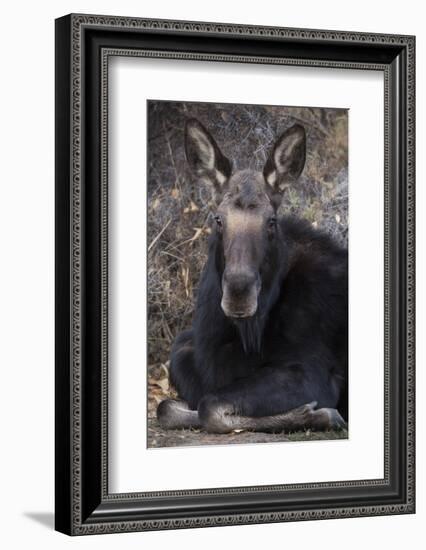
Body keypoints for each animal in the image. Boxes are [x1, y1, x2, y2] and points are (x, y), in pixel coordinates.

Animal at [158, 117, 348, 436]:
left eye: (271, 221)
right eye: (218, 219)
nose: (239, 293)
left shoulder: (314, 373)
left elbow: (210, 407)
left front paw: (315, 414)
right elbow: (167, 407)